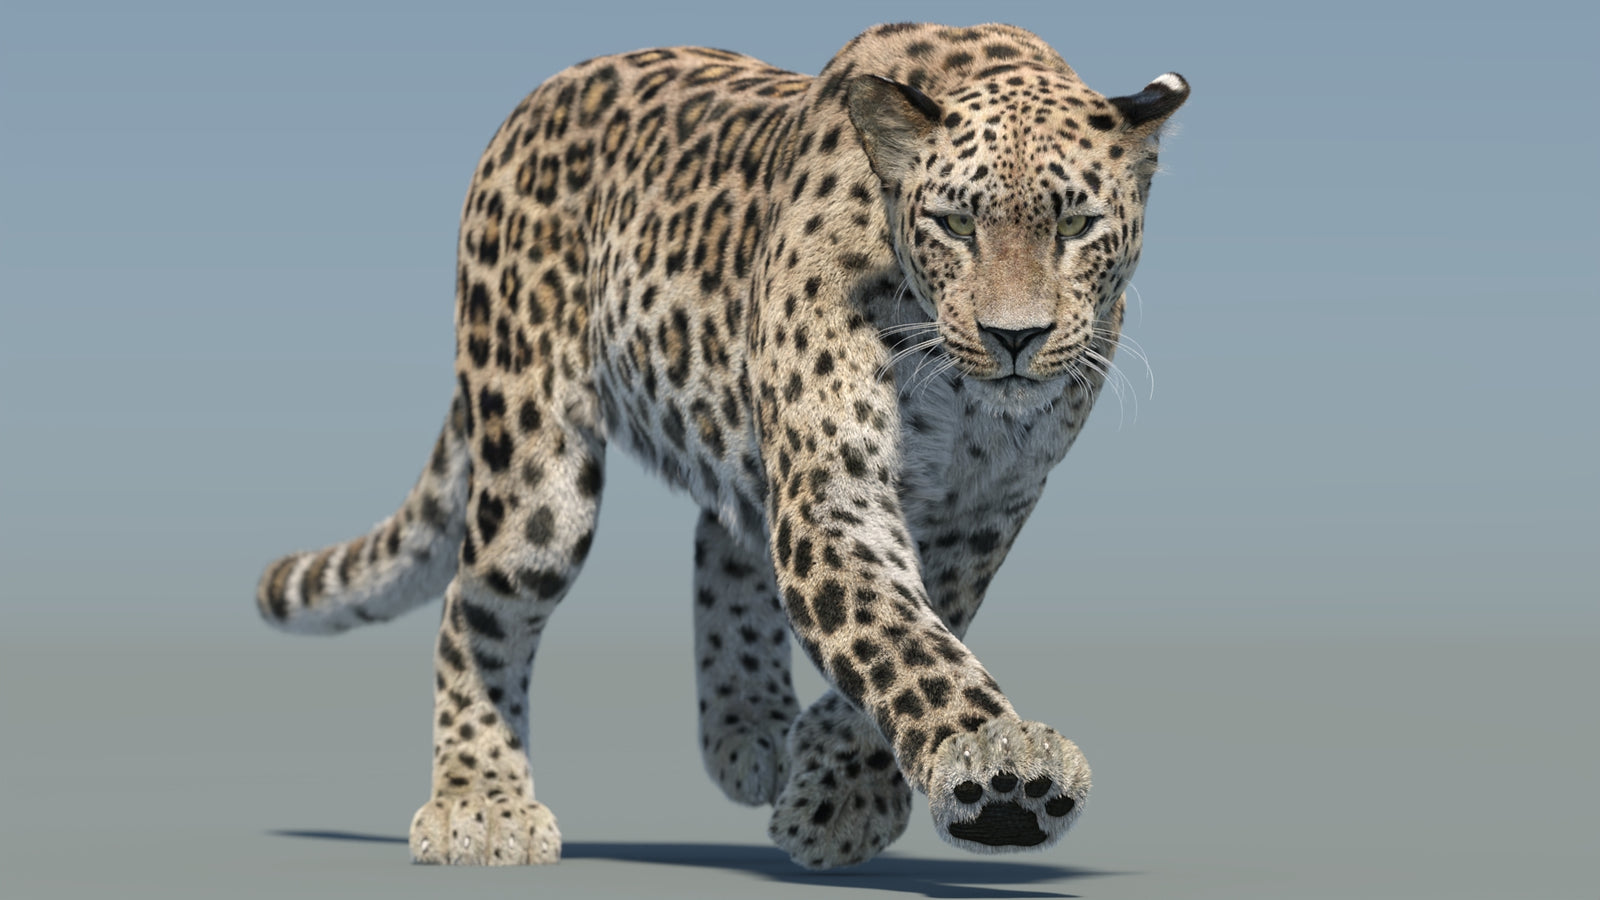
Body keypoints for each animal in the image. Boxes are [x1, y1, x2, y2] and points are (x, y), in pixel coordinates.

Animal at [255, 21, 1188, 870]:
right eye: (957, 224)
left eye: (1077, 226)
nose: (1014, 337)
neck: (965, 398)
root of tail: (534, 101)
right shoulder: (833, 494)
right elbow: (900, 639)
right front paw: (999, 774)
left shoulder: (984, 511)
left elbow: (921, 627)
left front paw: (840, 788)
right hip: (534, 469)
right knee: (474, 603)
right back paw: (480, 804)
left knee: (721, 539)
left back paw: (753, 733)